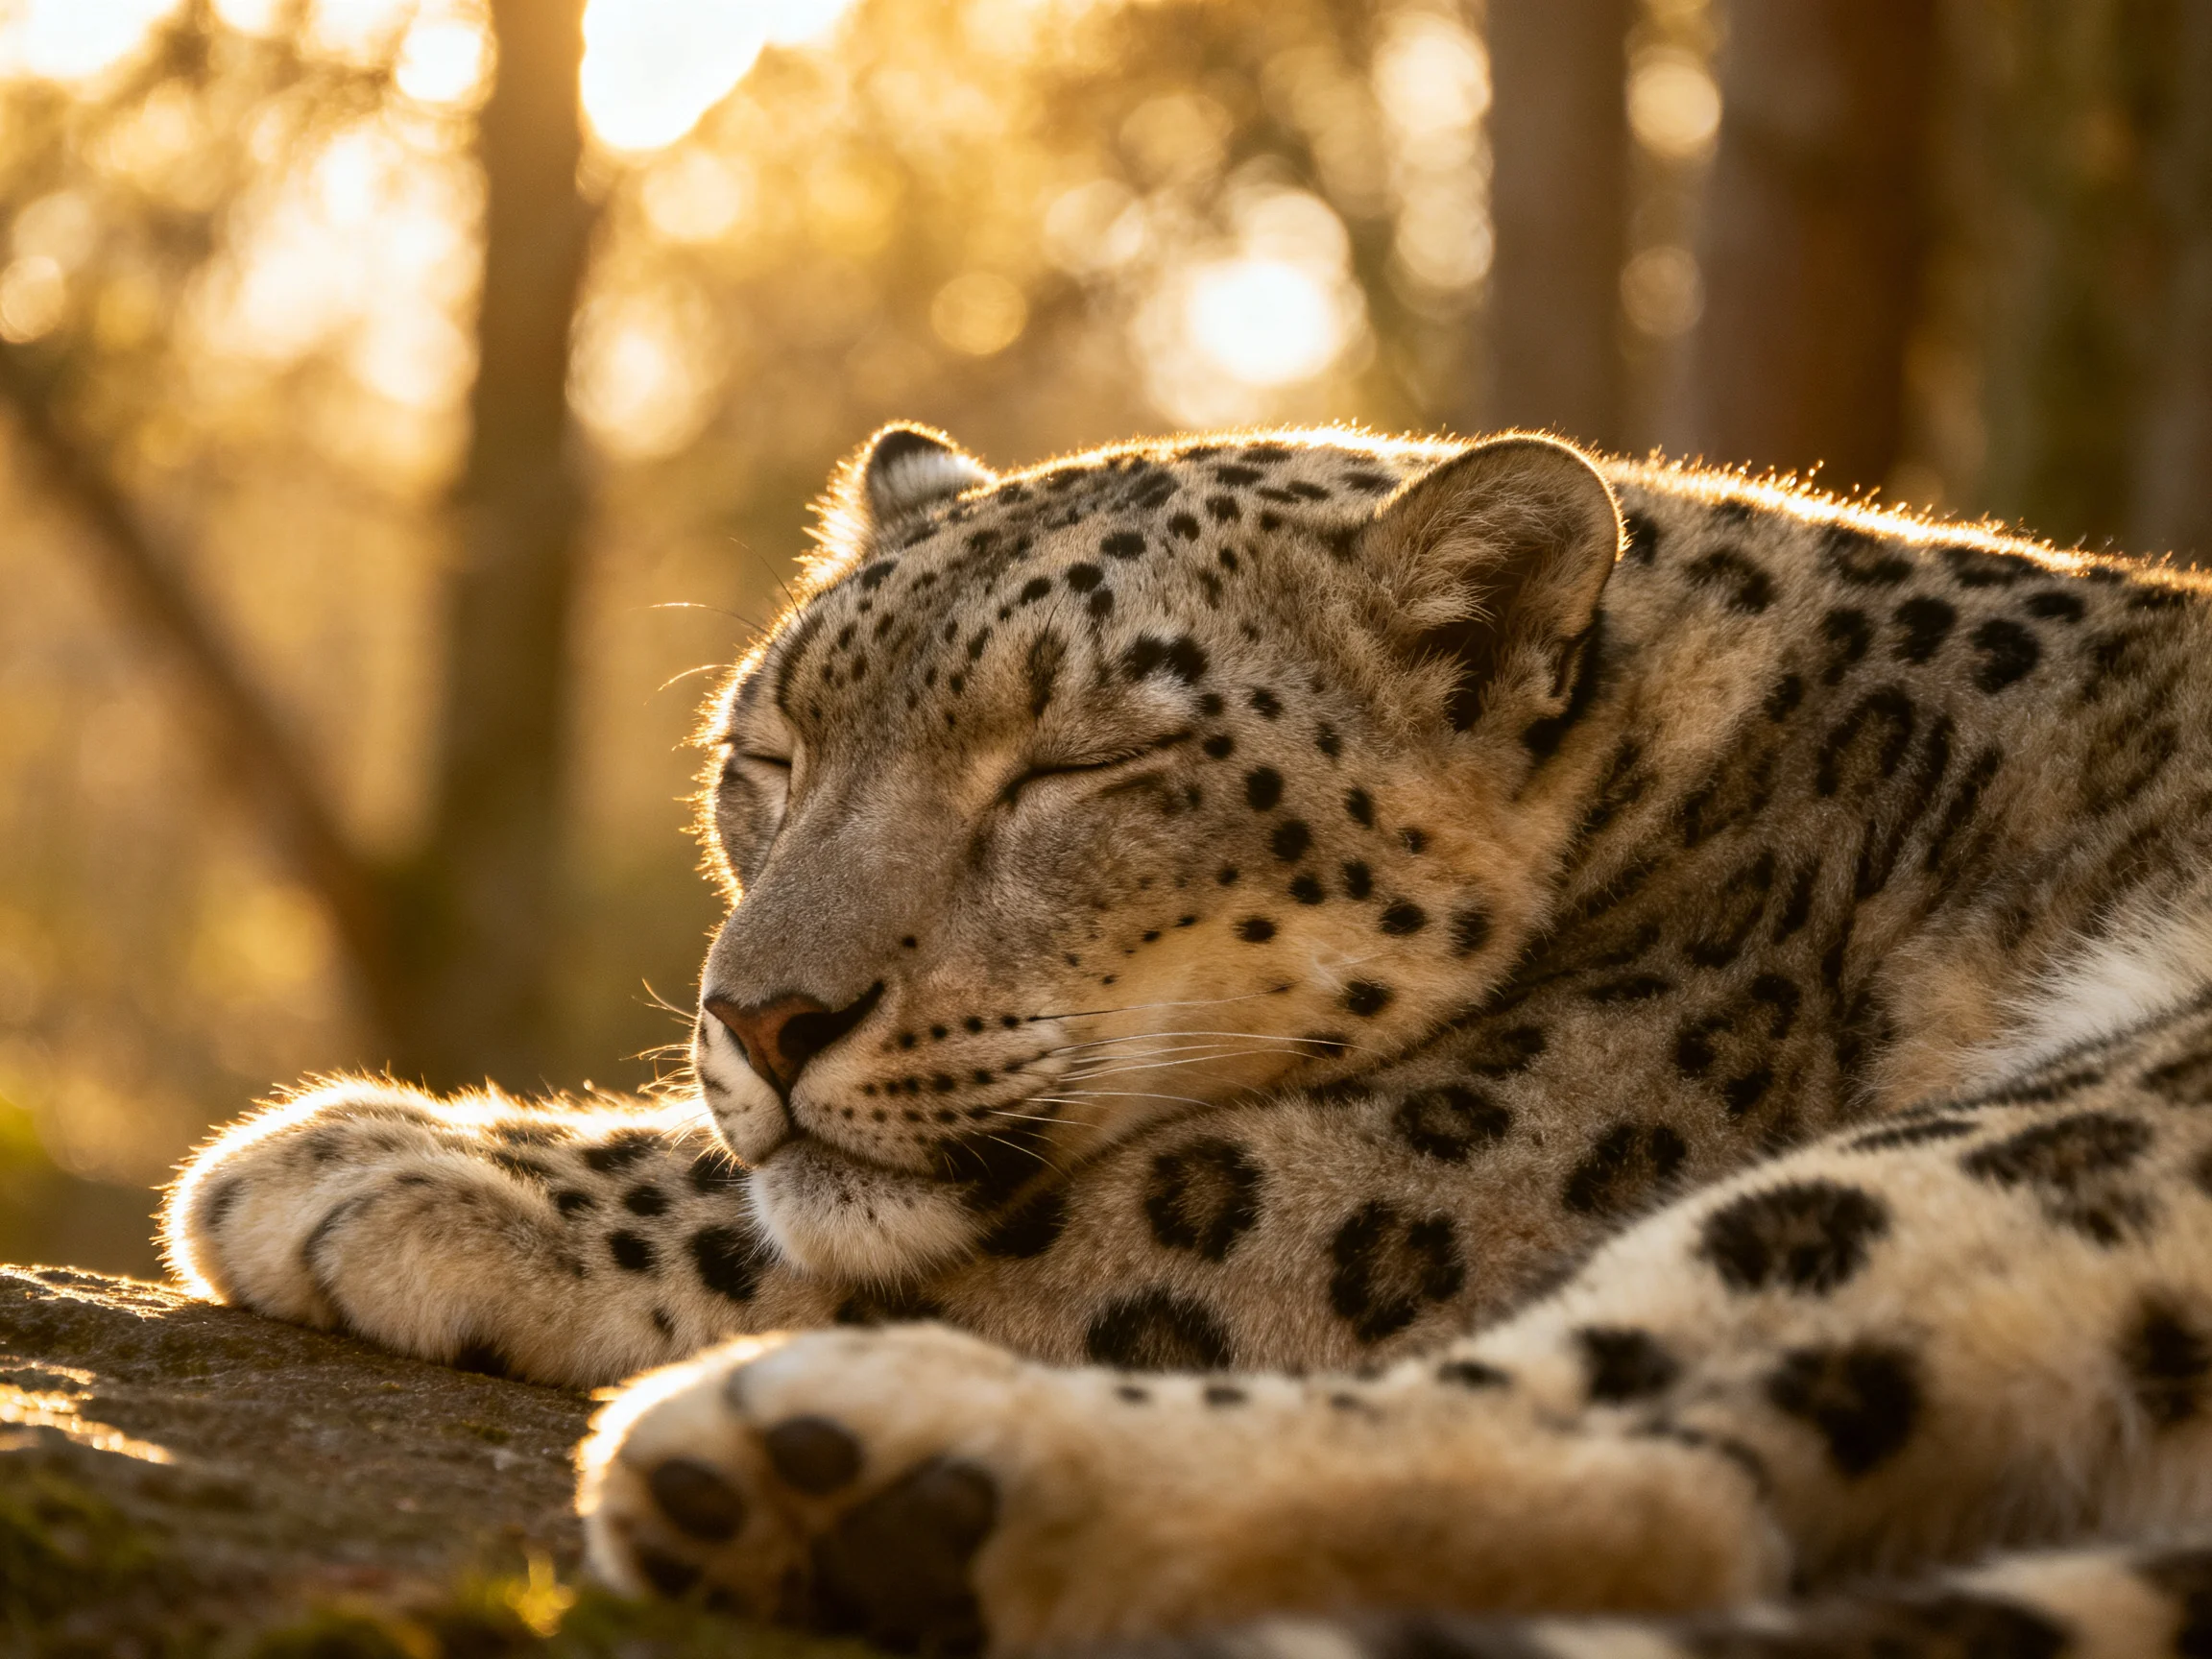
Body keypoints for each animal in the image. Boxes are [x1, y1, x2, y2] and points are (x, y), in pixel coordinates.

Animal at [166, 423, 2212, 1658]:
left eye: (1079, 765)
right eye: (768, 751)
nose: (757, 1014)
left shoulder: (1492, 1140)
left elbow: (1119, 1198)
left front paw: (386, 1161)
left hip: (2086, 1108)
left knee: (1627, 1422)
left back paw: (840, 1461)